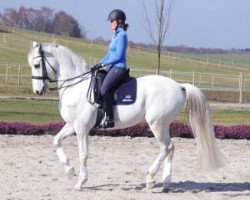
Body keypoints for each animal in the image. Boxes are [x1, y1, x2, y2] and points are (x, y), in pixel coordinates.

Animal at [27, 41, 227, 191]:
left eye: (37, 65)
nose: (38, 91)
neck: (76, 85)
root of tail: (179, 86)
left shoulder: (82, 127)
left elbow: (83, 154)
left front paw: (80, 182)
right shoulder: (72, 125)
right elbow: (56, 141)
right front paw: (69, 170)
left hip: (156, 124)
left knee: (165, 148)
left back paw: (150, 179)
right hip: (164, 125)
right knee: (171, 148)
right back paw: (165, 184)